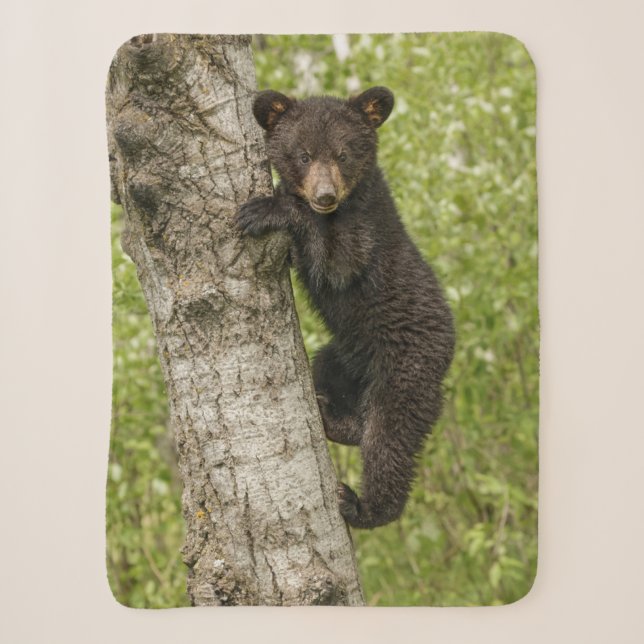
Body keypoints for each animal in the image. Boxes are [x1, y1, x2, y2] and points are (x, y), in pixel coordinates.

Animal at [237, 86, 455, 529]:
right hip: (344, 355)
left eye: (342, 154)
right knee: (332, 378)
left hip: (406, 369)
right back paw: (332, 417)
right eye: (303, 155)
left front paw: (267, 209)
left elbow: (336, 263)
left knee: (389, 439)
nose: (324, 196)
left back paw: (362, 505)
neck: (349, 201)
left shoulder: (364, 234)